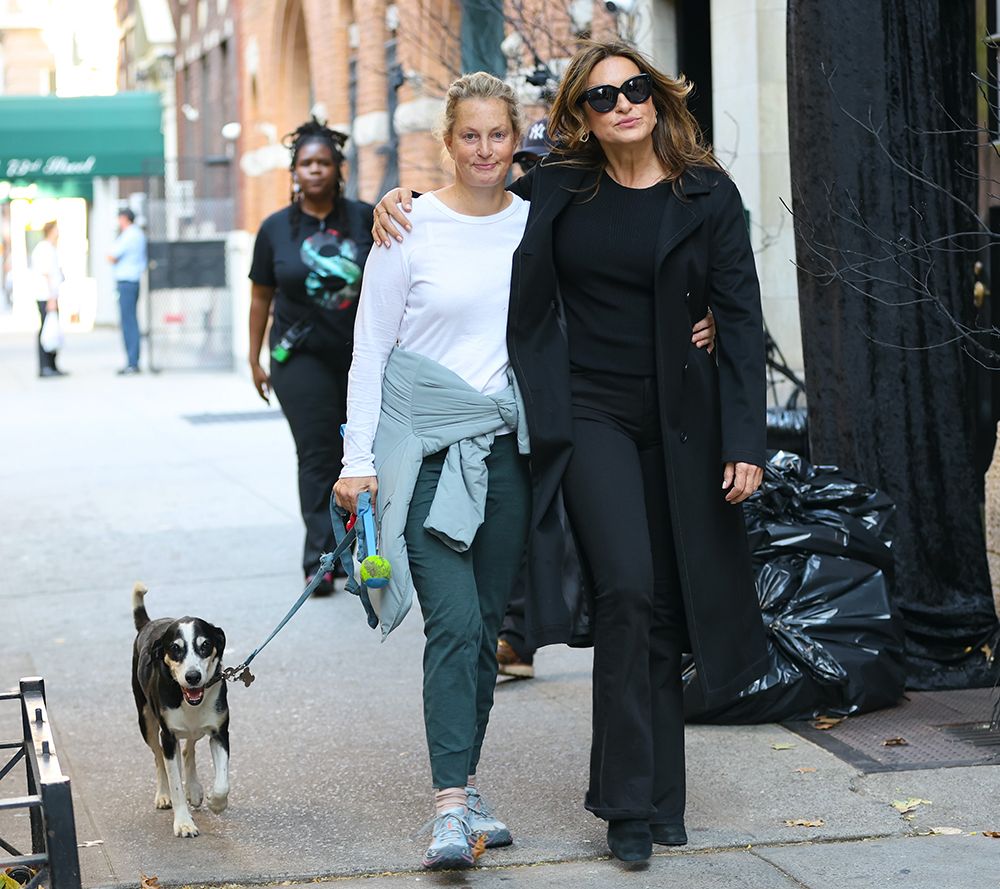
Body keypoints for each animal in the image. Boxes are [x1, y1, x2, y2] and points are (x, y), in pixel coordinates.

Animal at [130, 580, 228, 836]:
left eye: (205, 645)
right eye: (175, 648)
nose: (193, 677)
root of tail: (149, 623)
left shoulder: (220, 732)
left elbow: (223, 782)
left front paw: (216, 802)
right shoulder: (169, 736)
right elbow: (175, 783)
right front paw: (183, 822)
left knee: (189, 746)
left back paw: (194, 788)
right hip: (146, 722)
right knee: (158, 757)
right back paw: (163, 795)